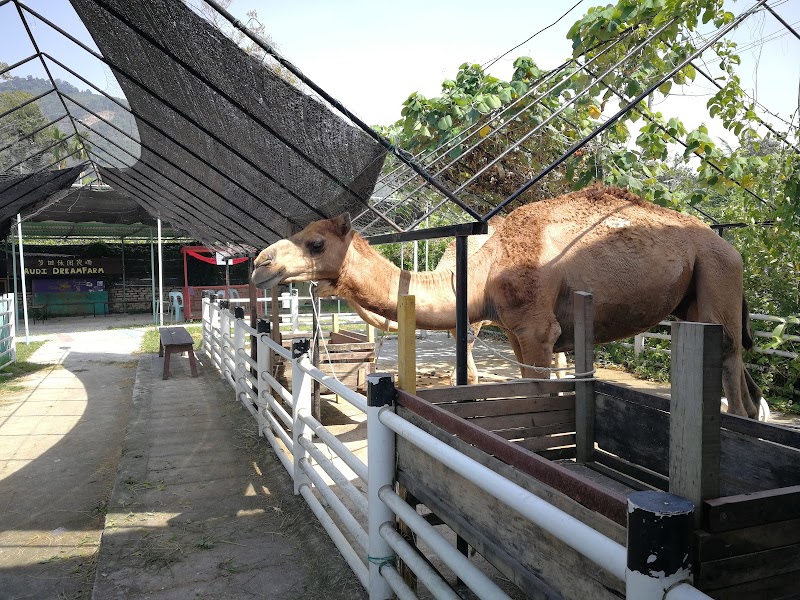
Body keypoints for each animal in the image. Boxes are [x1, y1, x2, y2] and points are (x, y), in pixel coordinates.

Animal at [255, 185, 764, 420]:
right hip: (694, 296)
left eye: (315, 243)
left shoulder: (537, 329)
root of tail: (730, 245)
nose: (259, 263)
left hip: (718, 274)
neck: (482, 268)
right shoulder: (517, 333)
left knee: (729, 360)